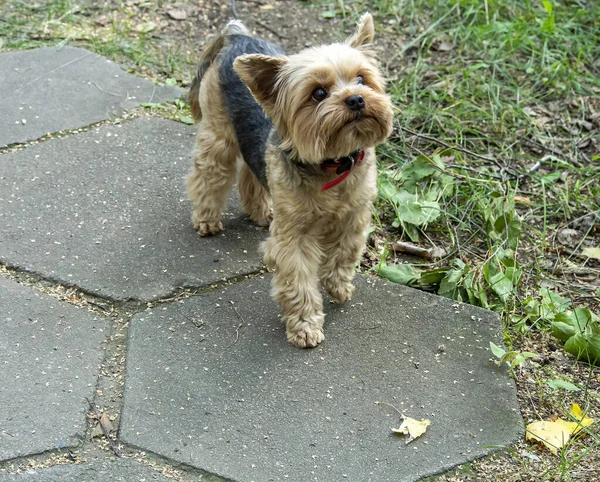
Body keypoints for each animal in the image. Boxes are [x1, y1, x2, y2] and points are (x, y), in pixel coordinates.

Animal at [188, 13, 394, 348]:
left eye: (362, 79)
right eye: (318, 93)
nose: (356, 99)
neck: (333, 163)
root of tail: (239, 35)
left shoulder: (355, 216)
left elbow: (345, 253)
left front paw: (338, 286)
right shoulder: (293, 236)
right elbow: (298, 280)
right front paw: (305, 326)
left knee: (251, 168)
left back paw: (261, 210)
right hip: (218, 131)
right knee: (209, 171)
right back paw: (206, 219)